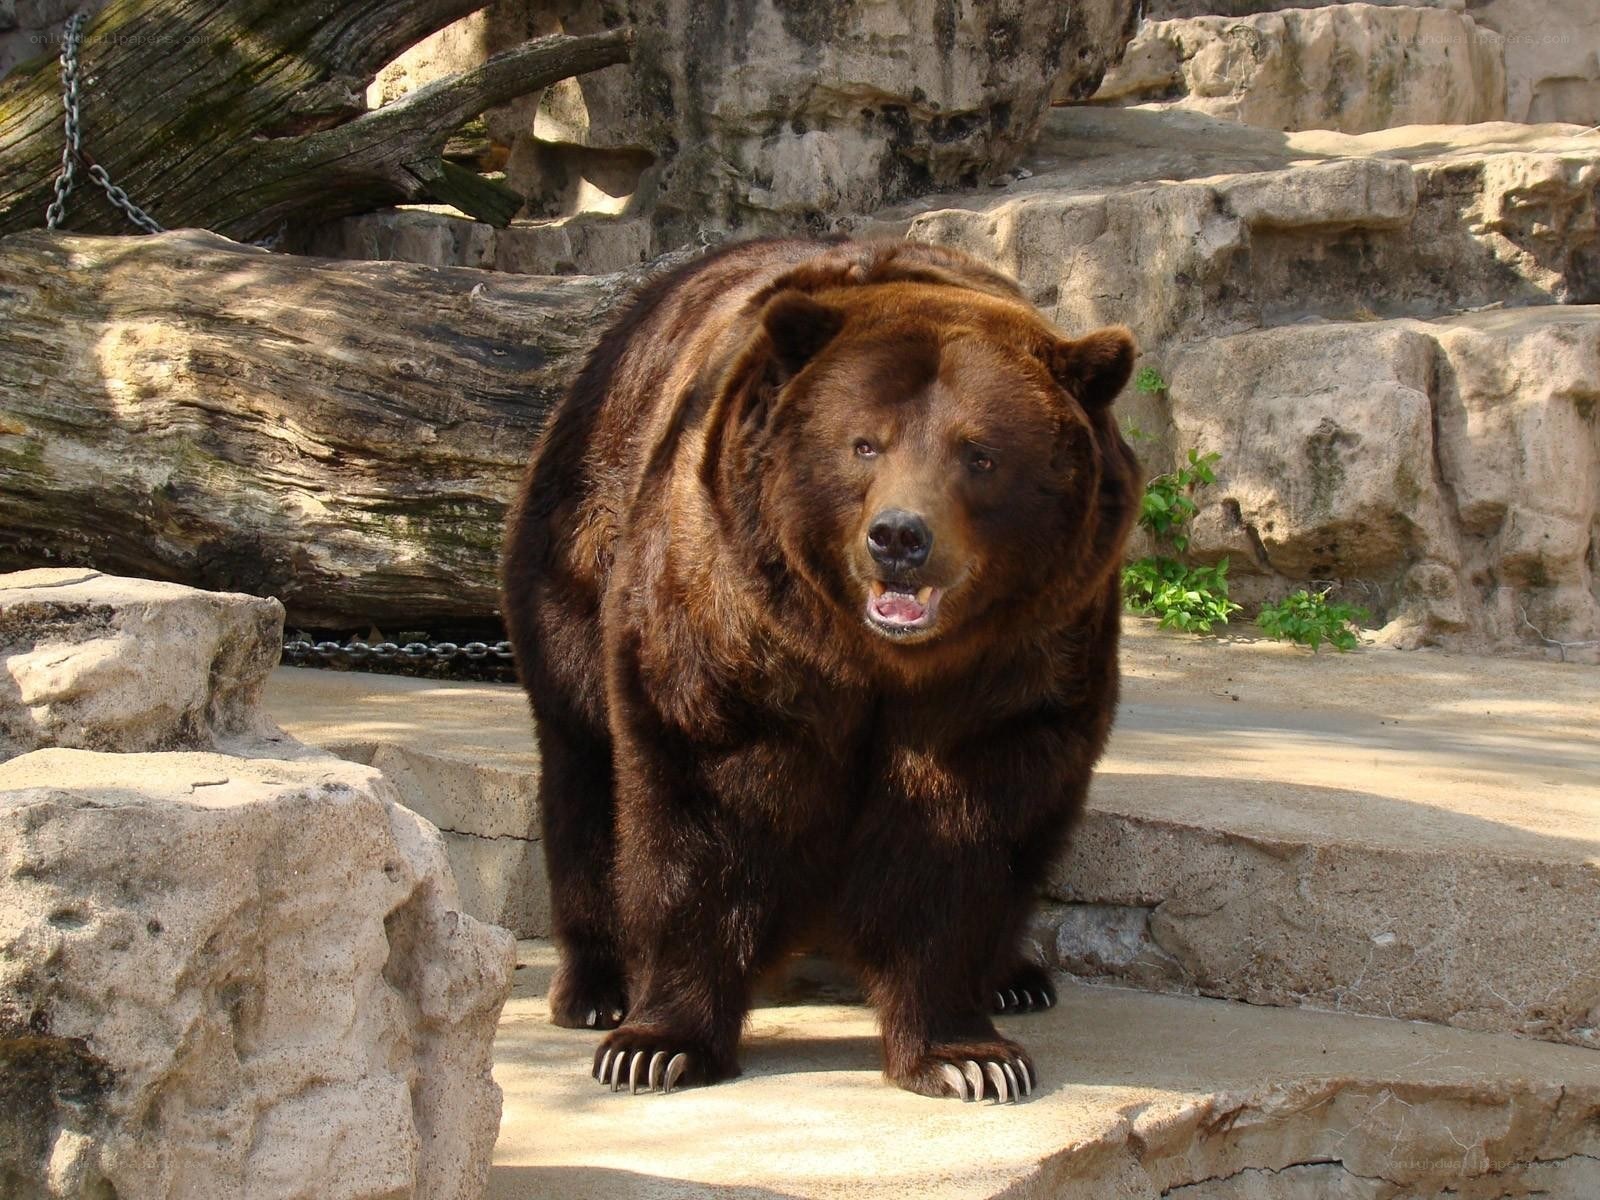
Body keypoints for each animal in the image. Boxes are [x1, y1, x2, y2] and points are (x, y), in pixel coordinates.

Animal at [501, 237, 1139, 1103]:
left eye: (980, 454)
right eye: (864, 443)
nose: (899, 537)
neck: (867, 655)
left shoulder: (1012, 664)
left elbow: (962, 836)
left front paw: (968, 1056)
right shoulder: (734, 628)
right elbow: (703, 803)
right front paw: (658, 1047)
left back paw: (1015, 976)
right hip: (581, 541)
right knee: (584, 762)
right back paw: (596, 988)